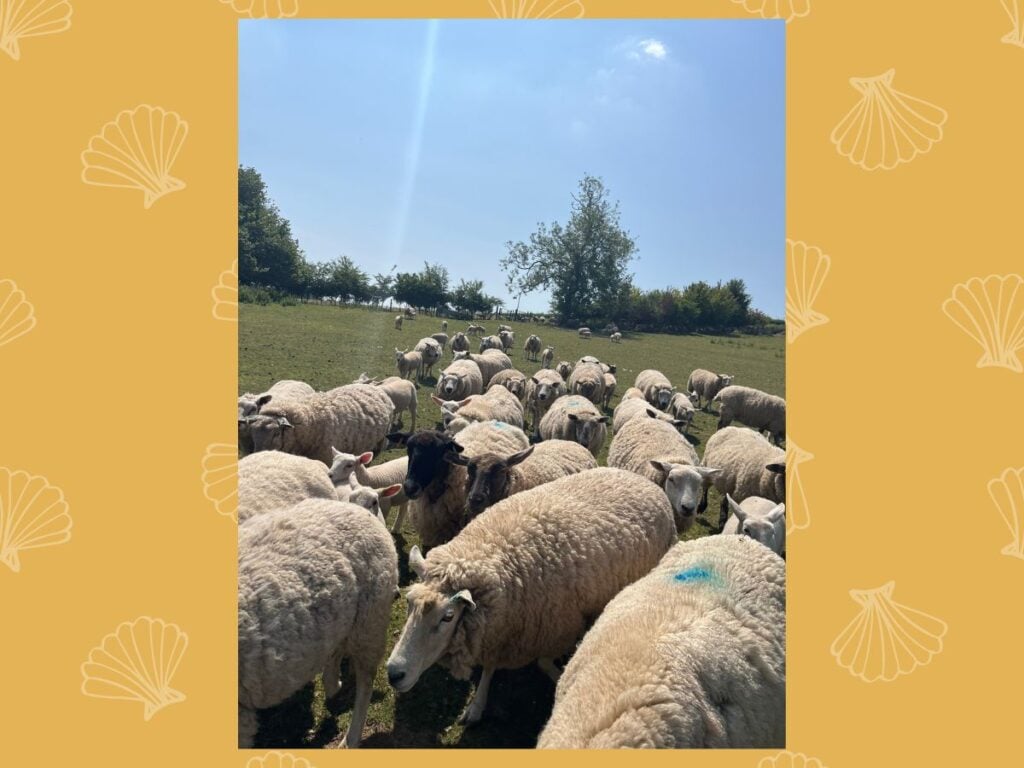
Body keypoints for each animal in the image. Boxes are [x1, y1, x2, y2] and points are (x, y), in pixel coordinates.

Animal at [238, 498, 398, 748]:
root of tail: (355, 509)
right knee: (336, 645)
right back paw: (333, 684)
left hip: (370, 620)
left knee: (366, 680)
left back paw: (351, 737)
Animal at [385, 467, 676, 725]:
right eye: (408, 603)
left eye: (448, 617)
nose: (394, 673)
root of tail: (641, 479)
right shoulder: (501, 628)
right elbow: (490, 667)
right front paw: (477, 705)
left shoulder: (553, 625)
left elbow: (544, 663)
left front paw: (559, 677)